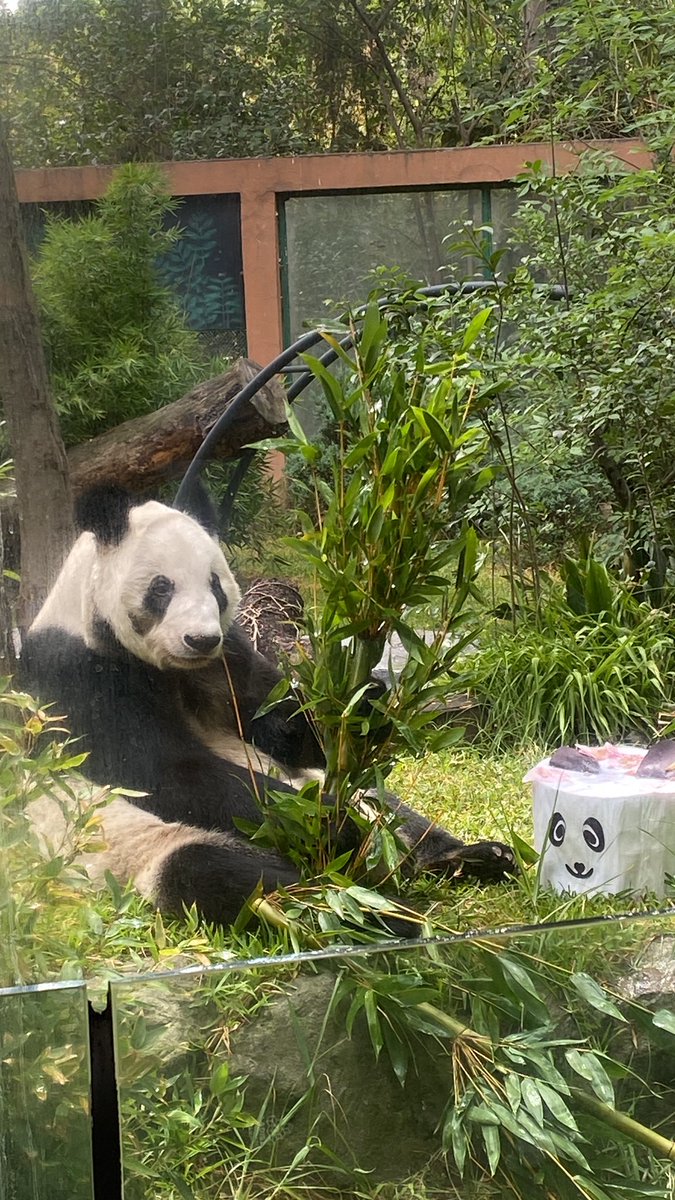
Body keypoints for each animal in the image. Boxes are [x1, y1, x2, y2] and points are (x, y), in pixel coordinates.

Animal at [20, 485, 515, 929]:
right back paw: (384, 914)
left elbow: (285, 725)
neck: (171, 669)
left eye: (215, 586)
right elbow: (168, 773)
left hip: (348, 791)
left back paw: (473, 857)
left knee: (395, 815)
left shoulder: (229, 658)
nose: (199, 638)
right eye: (161, 588)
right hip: (134, 845)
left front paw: (364, 705)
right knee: (233, 878)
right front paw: (331, 825)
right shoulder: (77, 677)